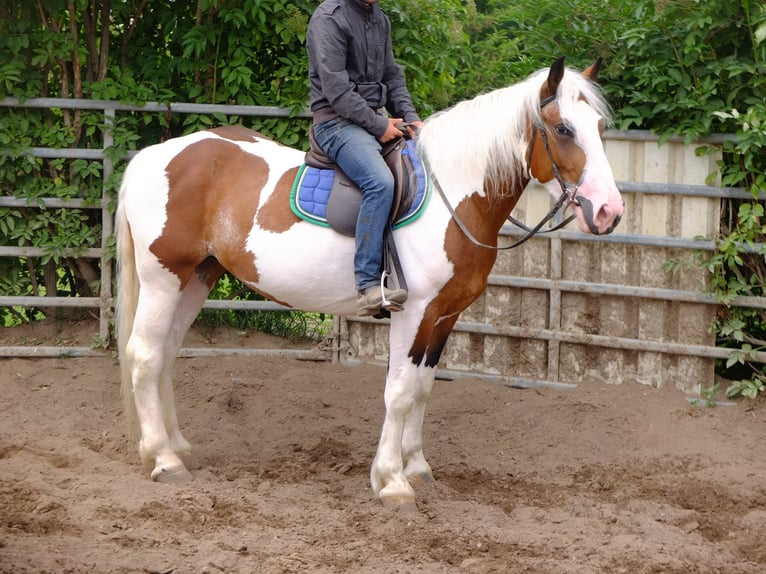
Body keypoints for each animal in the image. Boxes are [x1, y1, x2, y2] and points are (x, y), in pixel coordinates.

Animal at [117, 56, 628, 510]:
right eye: (563, 129)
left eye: (600, 127)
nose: (609, 211)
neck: (452, 198)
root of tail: (154, 156)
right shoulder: (413, 311)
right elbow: (399, 393)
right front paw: (391, 482)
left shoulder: (444, 315)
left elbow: (422, 387)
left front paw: (416, 467)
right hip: (164, 277)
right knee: (144, 354)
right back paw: (162, 459)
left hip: (198, 276)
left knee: (166, 354)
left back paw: (177, 446)